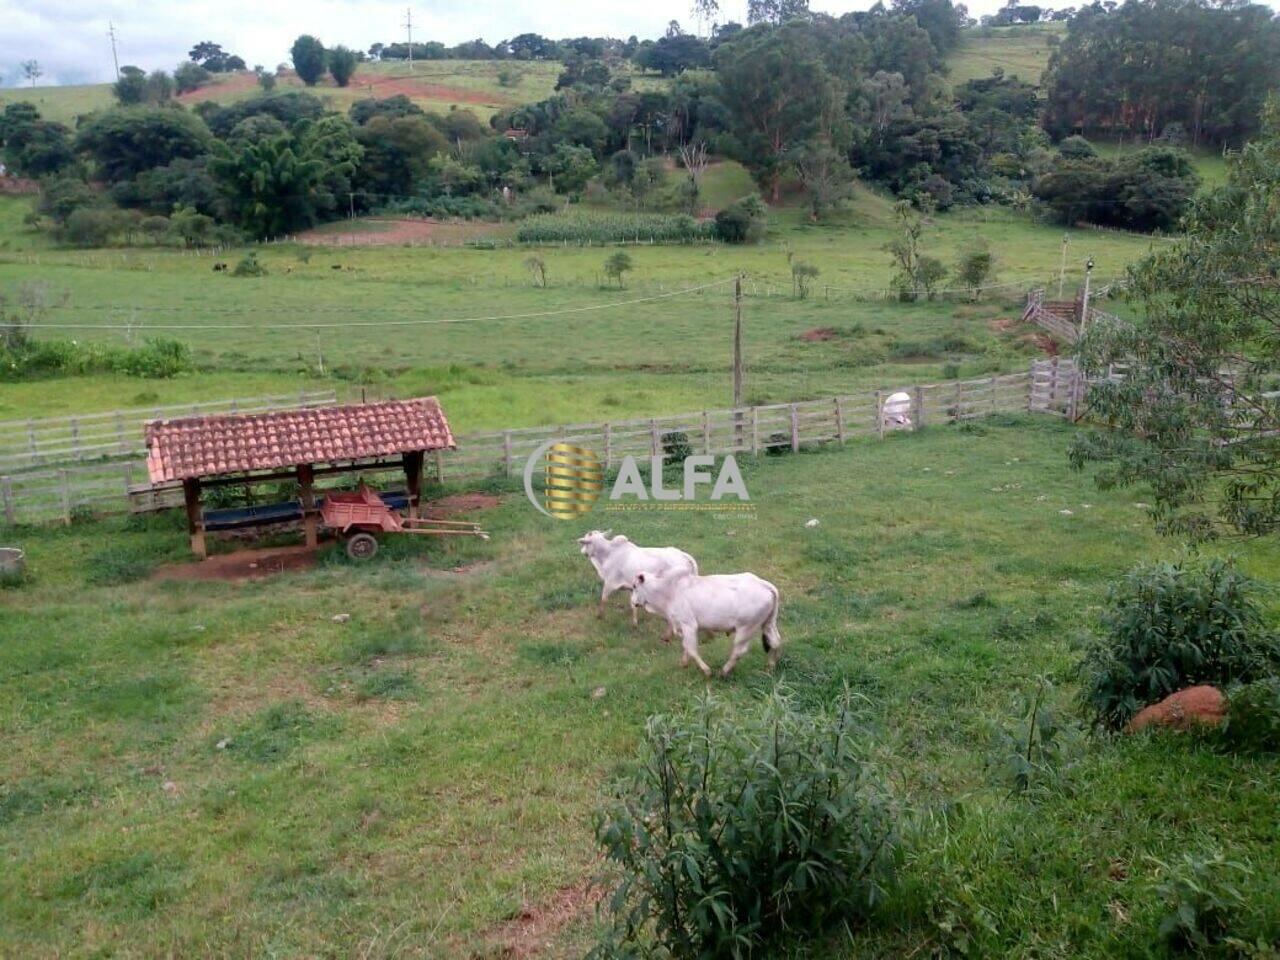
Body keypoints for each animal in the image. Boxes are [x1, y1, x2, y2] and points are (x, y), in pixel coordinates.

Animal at [629, 568, 778, 680]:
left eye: (635, 586)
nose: (633, 602)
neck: (669, 590)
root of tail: (764, 584)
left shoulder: (689, 625)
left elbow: (691, 649)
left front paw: (706, 671)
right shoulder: (683, 627)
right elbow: (686, 646)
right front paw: (684, 663)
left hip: (746, 628)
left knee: (739, 651)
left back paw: (724, 672)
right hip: (768, 623)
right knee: (775, 642)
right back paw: (770, 668)